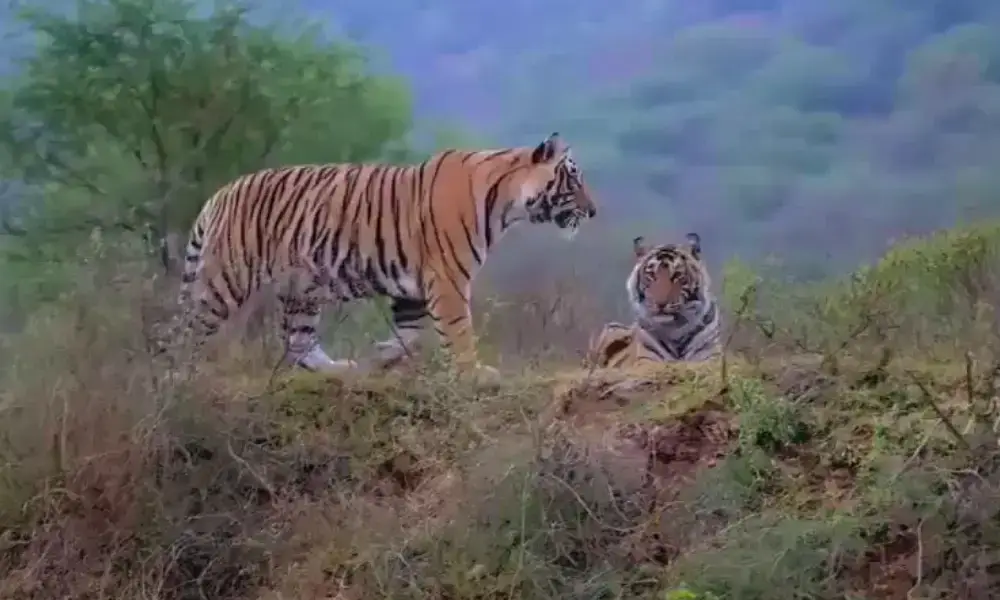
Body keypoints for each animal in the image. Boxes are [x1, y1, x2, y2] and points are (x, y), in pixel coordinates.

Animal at [170, 132, 598, 376]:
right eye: (573, 178)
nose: (594, 211)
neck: (507, 201)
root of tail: (220, 194)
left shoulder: (414, 290)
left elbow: (415, 335)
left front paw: (385, 355)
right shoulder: (447, 280)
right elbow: (458, 332)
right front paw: (473, 371)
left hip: (301, 289)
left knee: (297, 341)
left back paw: (337, 368)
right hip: (225, 282)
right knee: (186, 331)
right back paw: (177, 380)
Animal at [586, 232, 720, 369]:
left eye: (677, 275)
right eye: (651, 275)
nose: (660, 302)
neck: (675, 330)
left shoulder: (712, 357)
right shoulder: (646, 360)